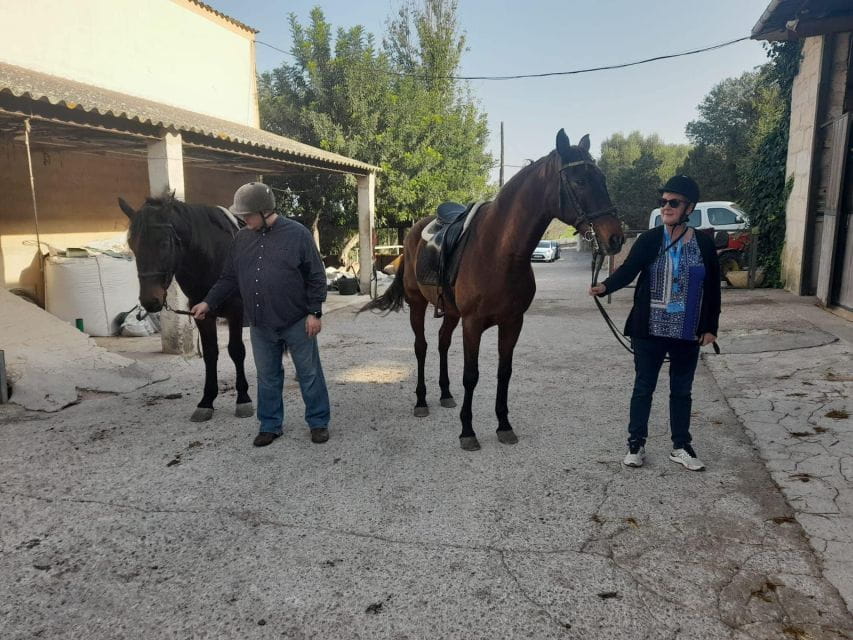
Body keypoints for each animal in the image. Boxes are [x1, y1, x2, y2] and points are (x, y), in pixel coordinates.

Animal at [119, 194, 253, 423]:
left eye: (164, 243)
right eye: (132, 244)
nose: (150, 300)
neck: (214, 254)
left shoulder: (236, 310)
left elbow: (237, 350)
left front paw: (243, 398)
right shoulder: (202, 314)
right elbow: (210, 354)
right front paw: (206, 401)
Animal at [362, 129, 624, 450]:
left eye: (601, 178)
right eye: (579, 181)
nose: (615, 238)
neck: (500, 251)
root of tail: (413, 233)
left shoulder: (512, 322)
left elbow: (504, 372)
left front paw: (503, 425)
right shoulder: (473, 324)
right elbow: (471, 375)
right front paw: (467, 431)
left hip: (451, 313)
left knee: (442, 343)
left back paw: (445, 395)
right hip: (418, 305)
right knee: (421, 347)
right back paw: (422, 401)